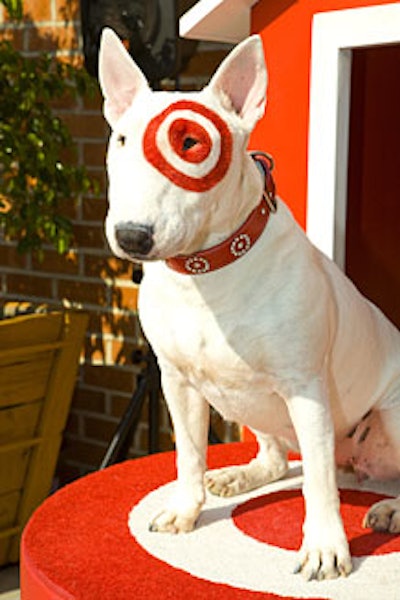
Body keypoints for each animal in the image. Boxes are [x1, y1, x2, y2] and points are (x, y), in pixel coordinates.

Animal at [97, 29, 400, 580]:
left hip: (391, 412)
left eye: (191, 143)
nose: (132, 237)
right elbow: (189, 453)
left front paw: (325, 550)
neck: (206, 274)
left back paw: (390, 508)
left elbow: (317, 481)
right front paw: (184, 510)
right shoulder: (176, 381)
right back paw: (241, 476)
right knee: (278, 458)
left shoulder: (306, 388)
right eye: (122, 139)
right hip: (249, 404)